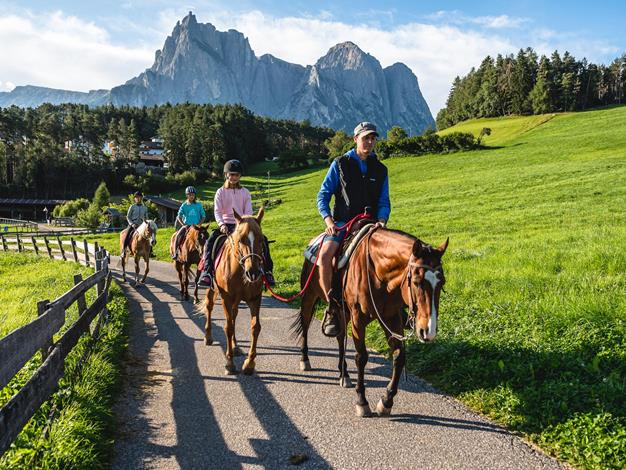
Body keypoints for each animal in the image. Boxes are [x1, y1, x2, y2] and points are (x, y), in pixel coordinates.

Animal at [204, 207, 264, 376]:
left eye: (261, 239)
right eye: (241, 239)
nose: (253, 273)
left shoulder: (255, 299)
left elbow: (255, 327)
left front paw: (249, 363)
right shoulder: (227, 298)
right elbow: (228, 327)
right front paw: (230, 363)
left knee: (234, 315)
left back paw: (236, 346)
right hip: (212, 289)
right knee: (209, 307)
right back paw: (208, 337)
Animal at [292, 229, 444, 416]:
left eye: (442, 283)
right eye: (417, 282)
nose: (428, 331)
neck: (378, 273)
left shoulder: (391, 317)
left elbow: (399, 356)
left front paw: (386, 401)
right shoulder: (358, 318)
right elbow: (361, 357)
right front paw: (362, 401)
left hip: (343, 311)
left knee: (340, 336)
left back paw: (344, 374)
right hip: (309, 297)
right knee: (305, 325)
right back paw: (305, 360)